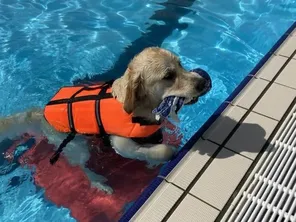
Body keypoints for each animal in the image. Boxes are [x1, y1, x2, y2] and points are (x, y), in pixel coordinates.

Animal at [0, 46, 209, 193]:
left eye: (180, 64)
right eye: (168, 76)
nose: (203, 82)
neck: (140, 109)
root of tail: (42, 113)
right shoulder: (122, 145)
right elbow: (159, 149)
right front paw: (165, 153)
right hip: (76, 146)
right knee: (82, 167)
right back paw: (98, 182)